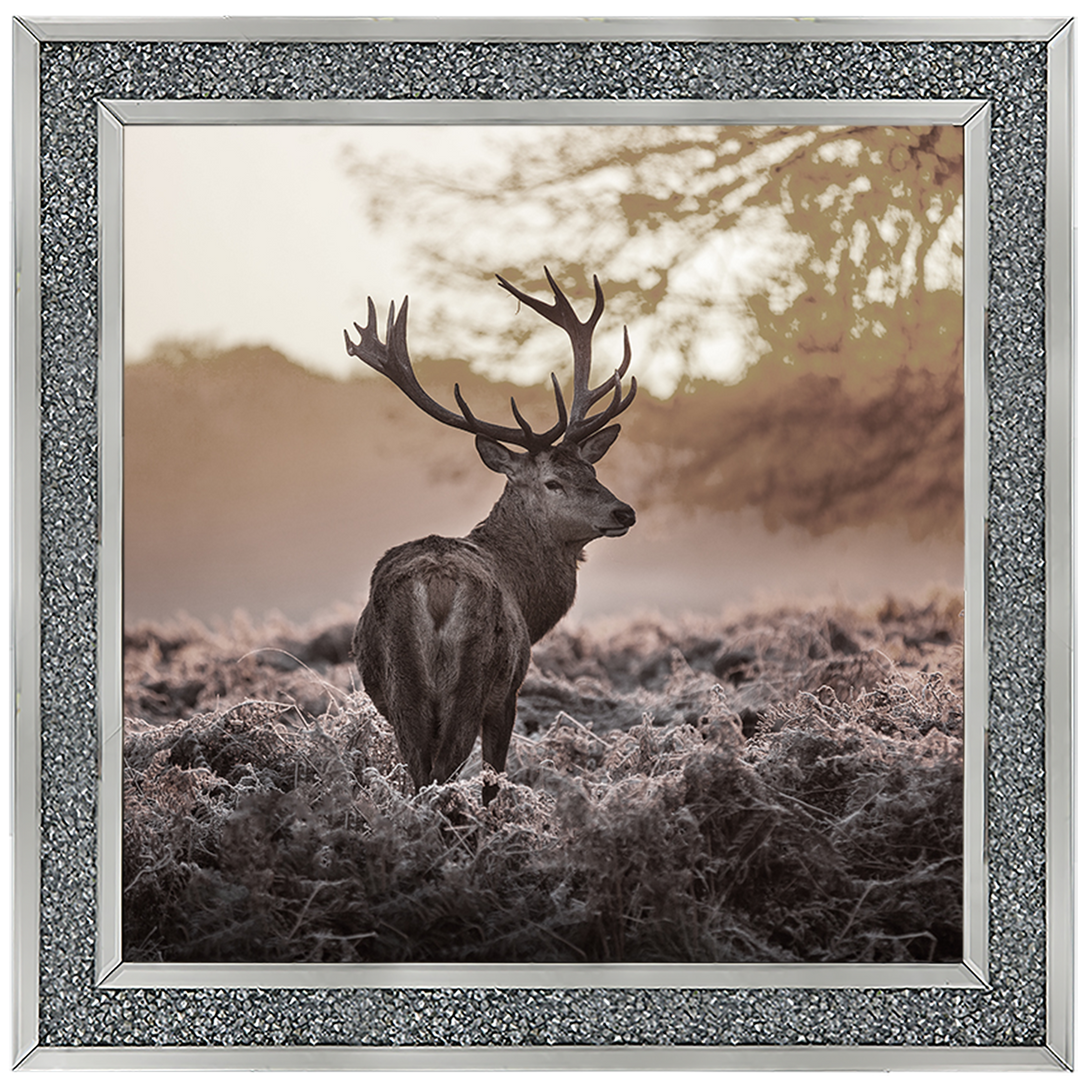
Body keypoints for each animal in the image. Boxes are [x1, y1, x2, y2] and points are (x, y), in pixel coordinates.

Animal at [346, 268, 637, 806]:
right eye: (553, 481)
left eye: (591, 469)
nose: (623, 511)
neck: (528, 598)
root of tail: (435, 586)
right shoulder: (509, 692)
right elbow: (493, 779)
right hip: (472, 679)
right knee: (443, 771)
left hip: (402, 689)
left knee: (419, 772)